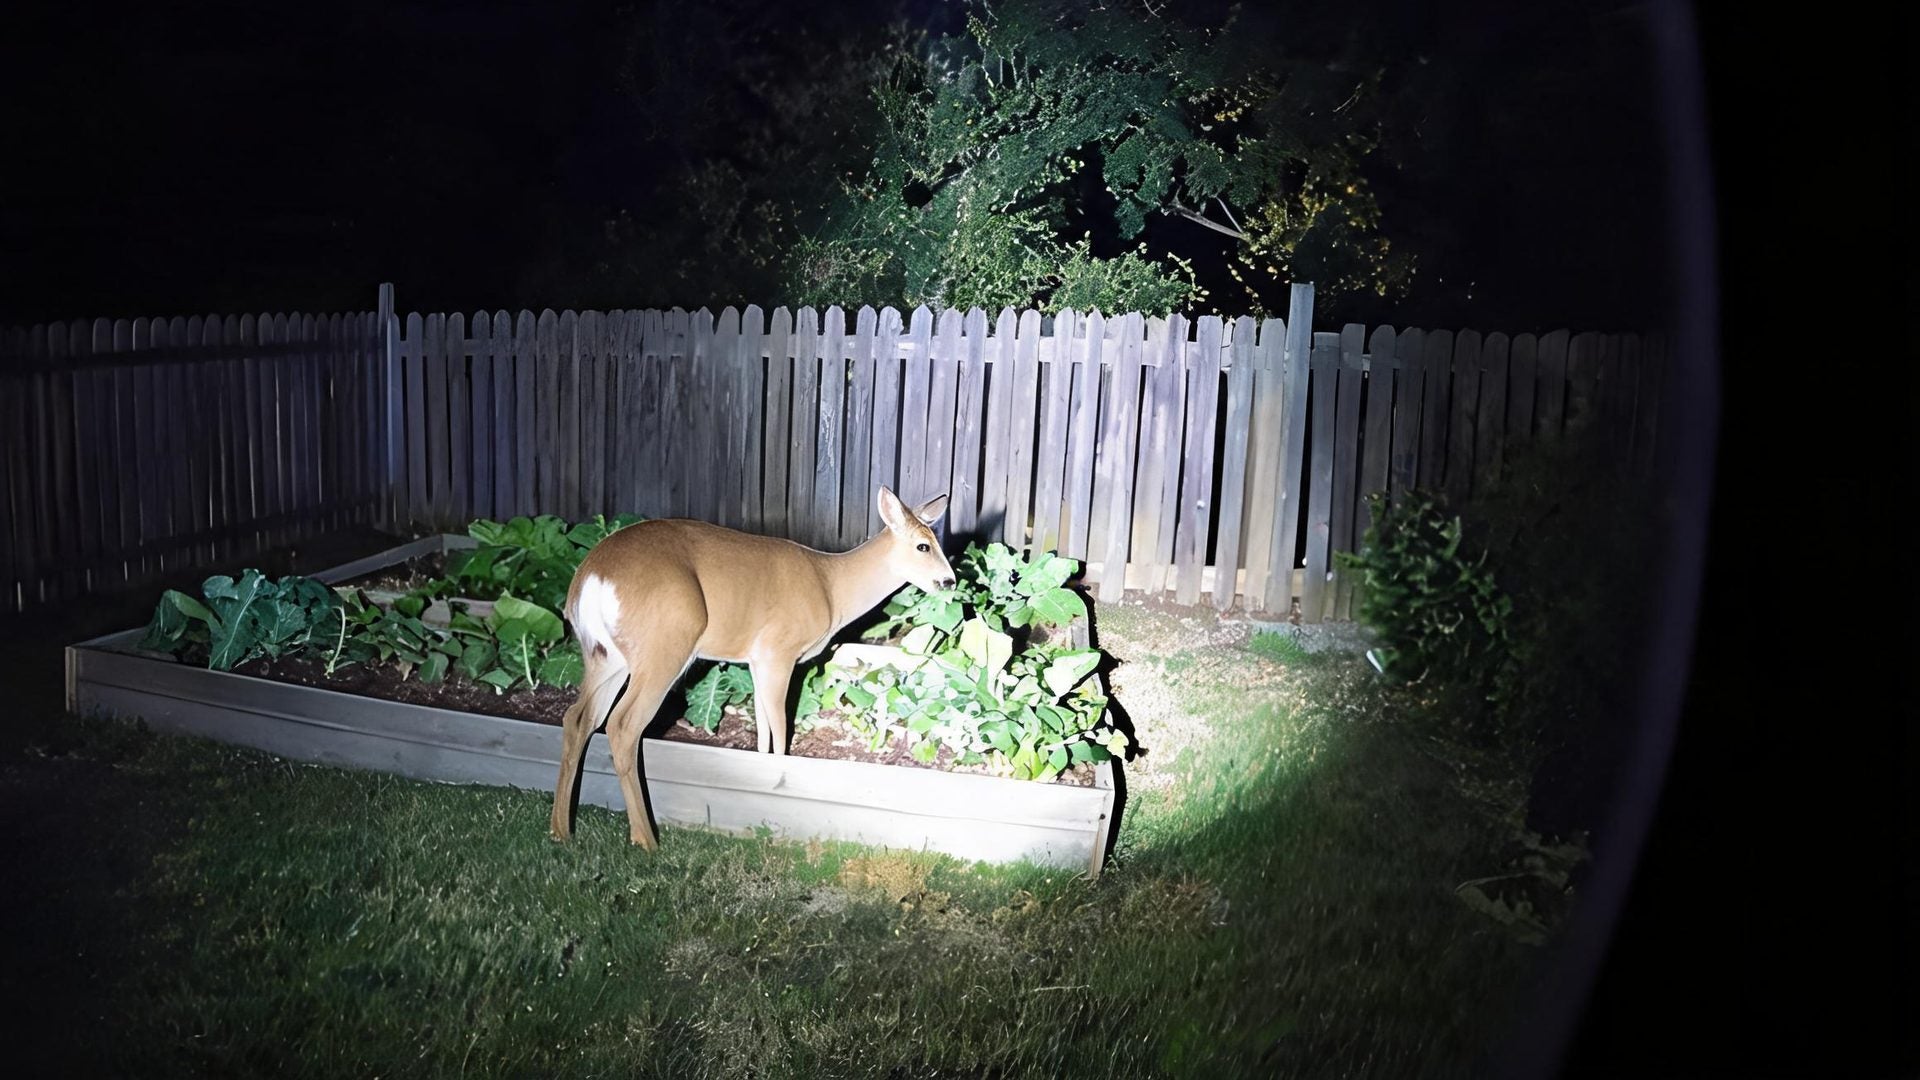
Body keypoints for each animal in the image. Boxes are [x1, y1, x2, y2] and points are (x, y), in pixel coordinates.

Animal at [550, 486, 955, 849]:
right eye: (923, 545)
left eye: (937, 541)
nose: (949, 581)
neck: (831, 585)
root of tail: (590, 579)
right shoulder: (780, 650)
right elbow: (780, 727)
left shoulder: (757, 660)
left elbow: (762, 729)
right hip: (664, 644)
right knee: (622, 725)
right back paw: (645, 840)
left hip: (605, 655)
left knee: (577, 718)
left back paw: (561, 831)